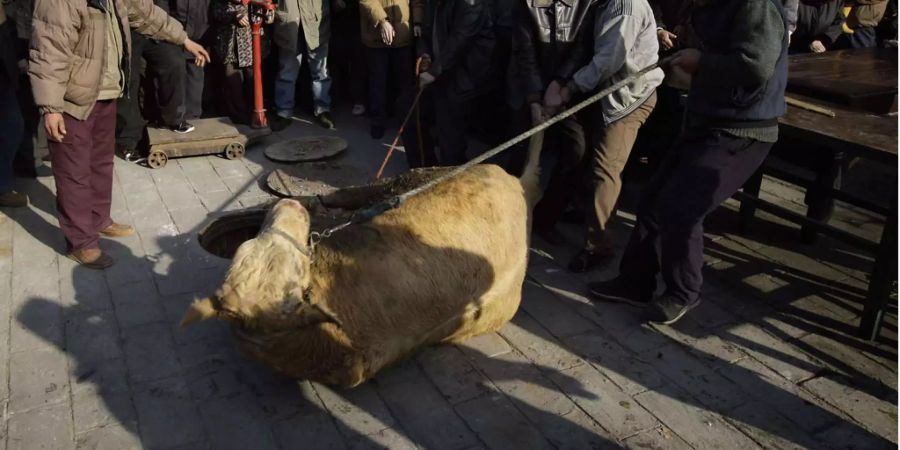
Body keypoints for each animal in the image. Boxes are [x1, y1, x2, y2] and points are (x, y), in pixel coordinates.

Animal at [177, 134, 540, 386]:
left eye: (297, 266)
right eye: (249, 246)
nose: (288, 207)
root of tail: (518, 186)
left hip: (419, 175)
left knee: (348, 193)